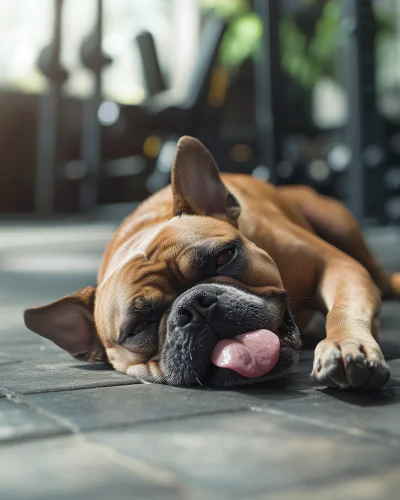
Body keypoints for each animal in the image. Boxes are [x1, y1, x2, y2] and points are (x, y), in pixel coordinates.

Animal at [25, 137, 400, 390]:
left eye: (224, 256)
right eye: (138, 328)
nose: (195, 305)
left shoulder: (338, 265)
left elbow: (344, 308)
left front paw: (345, 345)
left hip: (340, 226)